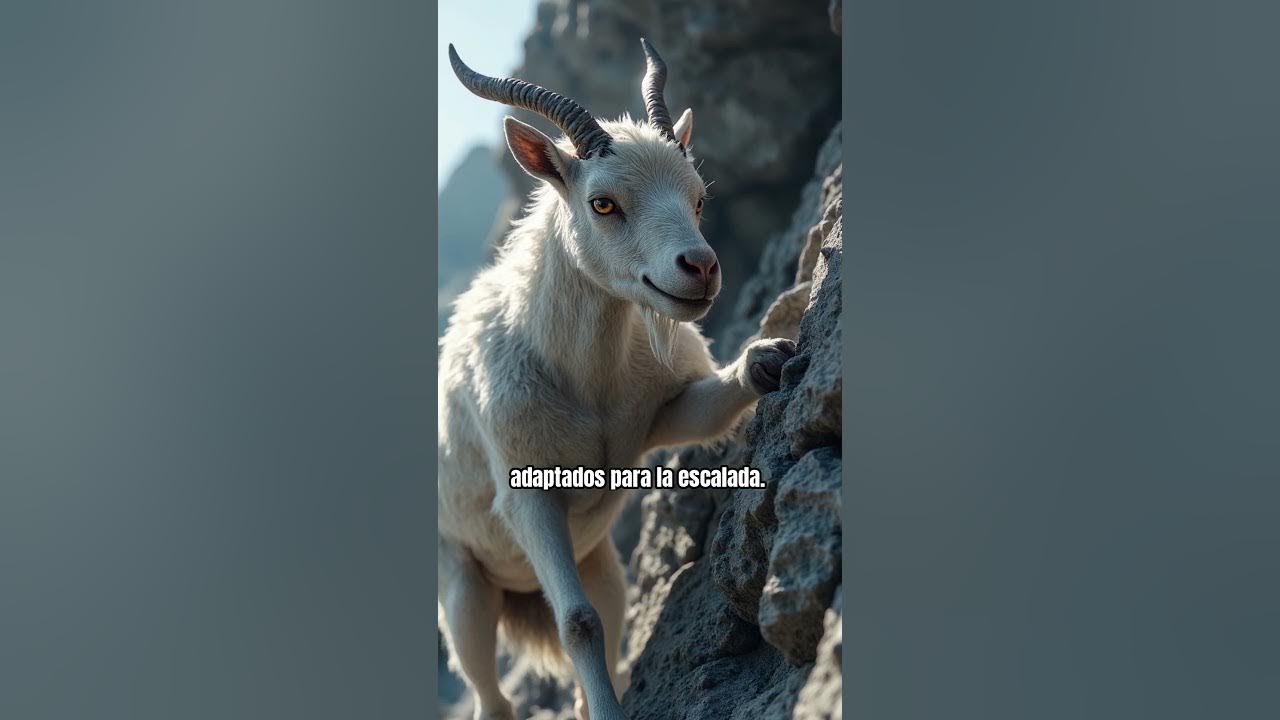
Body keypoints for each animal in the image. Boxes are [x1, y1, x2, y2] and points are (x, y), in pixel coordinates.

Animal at [438, 39, 796, 720]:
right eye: (602, 203)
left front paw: (773, 355)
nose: (699, 268)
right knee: (490, 693)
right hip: (464, 584)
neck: (586, 380)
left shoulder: (655, 413)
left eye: (699, 197)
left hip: (599, 558)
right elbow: (577, 623)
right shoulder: (527, 495)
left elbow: (703, 412)